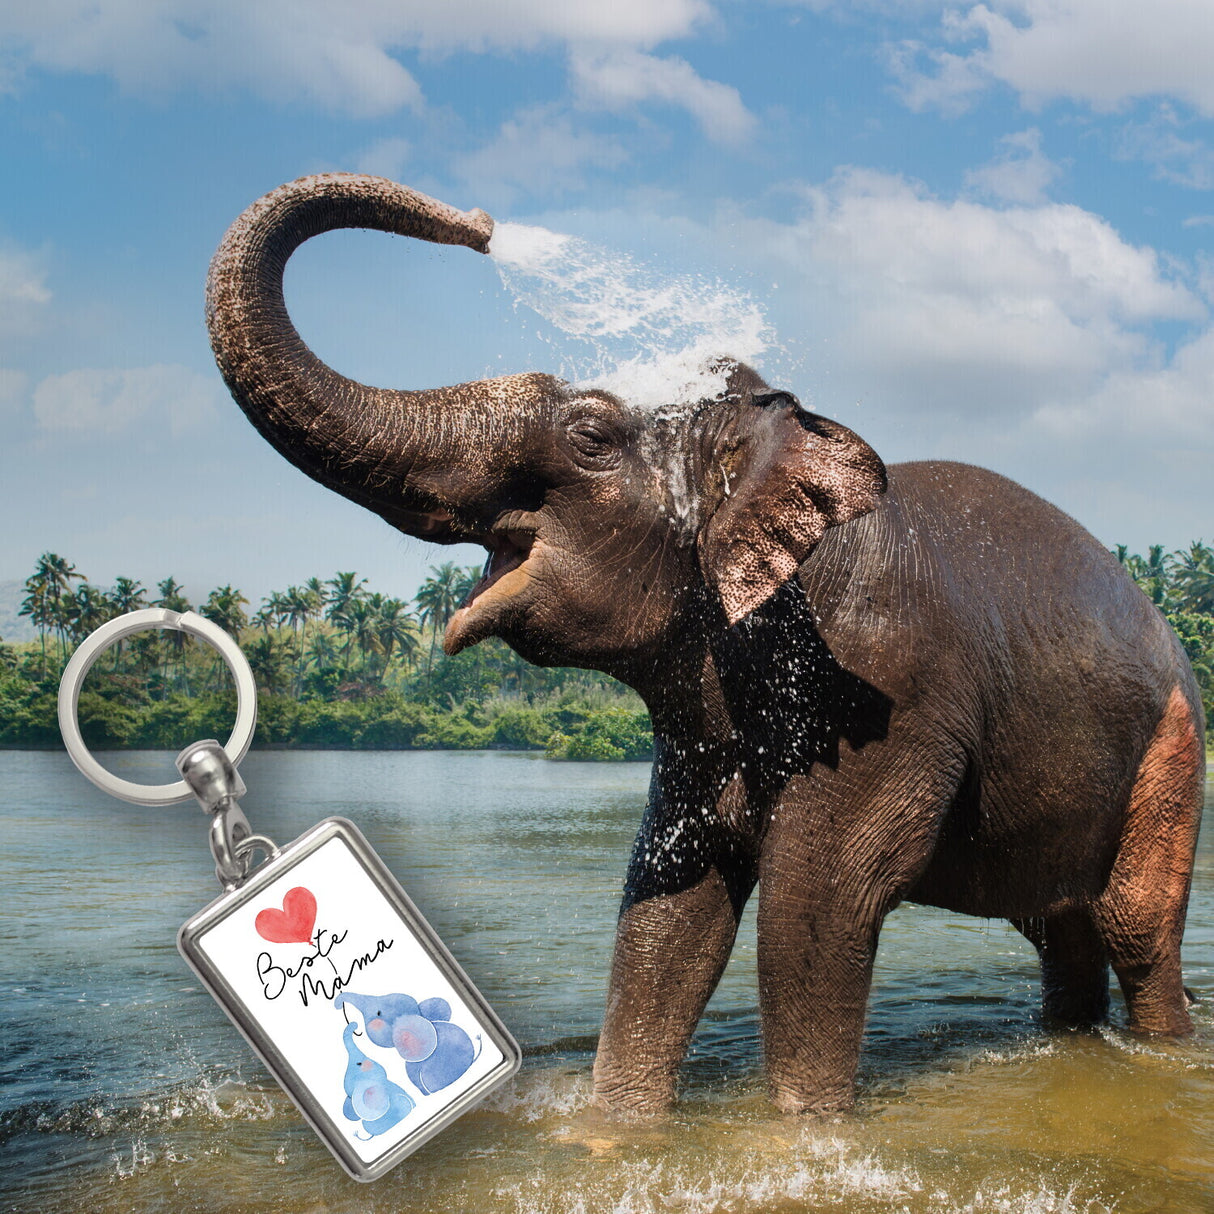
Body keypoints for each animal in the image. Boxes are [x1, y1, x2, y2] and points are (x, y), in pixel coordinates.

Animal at [207, 173, 1205, 1116]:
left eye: (590, 435)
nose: (481, 223)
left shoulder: (887, 686)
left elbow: (819, 903)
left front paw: (804, 1129)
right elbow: (670, 905)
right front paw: (616, 1126)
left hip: (1176, 745)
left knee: (1133, 928)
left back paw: (1162, 1044)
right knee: (1061, 927)